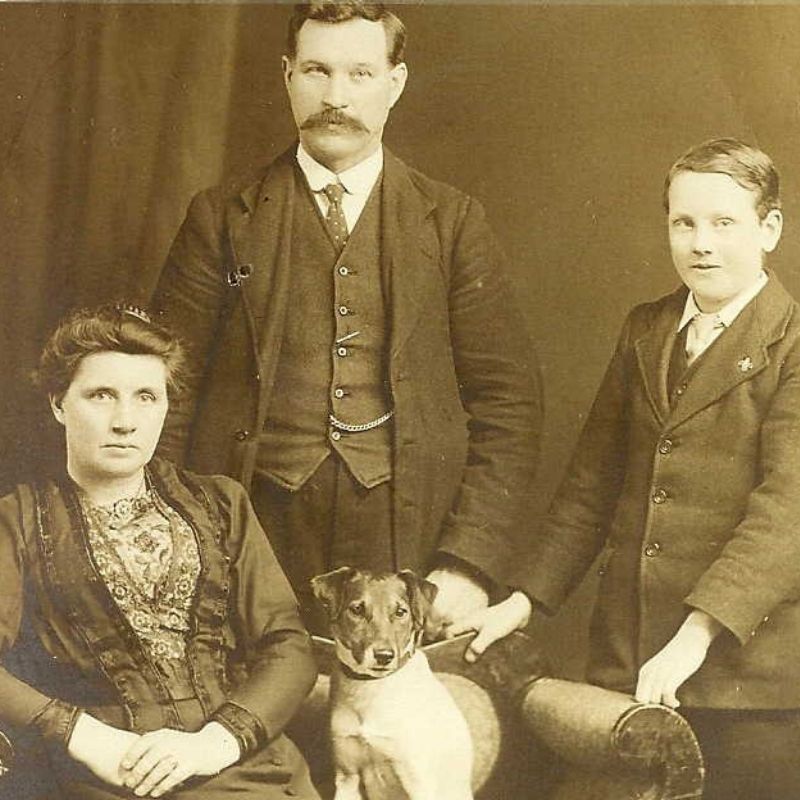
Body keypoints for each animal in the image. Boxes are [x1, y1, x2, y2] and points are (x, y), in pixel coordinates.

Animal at [310, 564, 476, 800]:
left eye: (400, 612)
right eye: (357, 609)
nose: (384, 656)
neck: (372, 687)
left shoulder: (418, 782)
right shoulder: (347, 777)